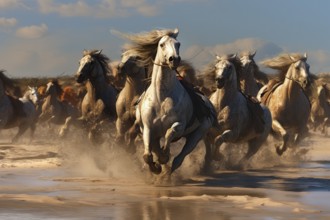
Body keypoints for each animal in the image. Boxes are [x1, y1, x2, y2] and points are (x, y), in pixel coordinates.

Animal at [118, 28, 217, 174]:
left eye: (178, 44)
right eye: (162, 44)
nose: (174, 59)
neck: (161, 97)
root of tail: (208, 104)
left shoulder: (180, 125)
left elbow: (170, 132)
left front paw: (163, 157)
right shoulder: (148, 128)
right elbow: (147, 155)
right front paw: (155, 166)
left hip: (198, 134)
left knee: (178, 159)